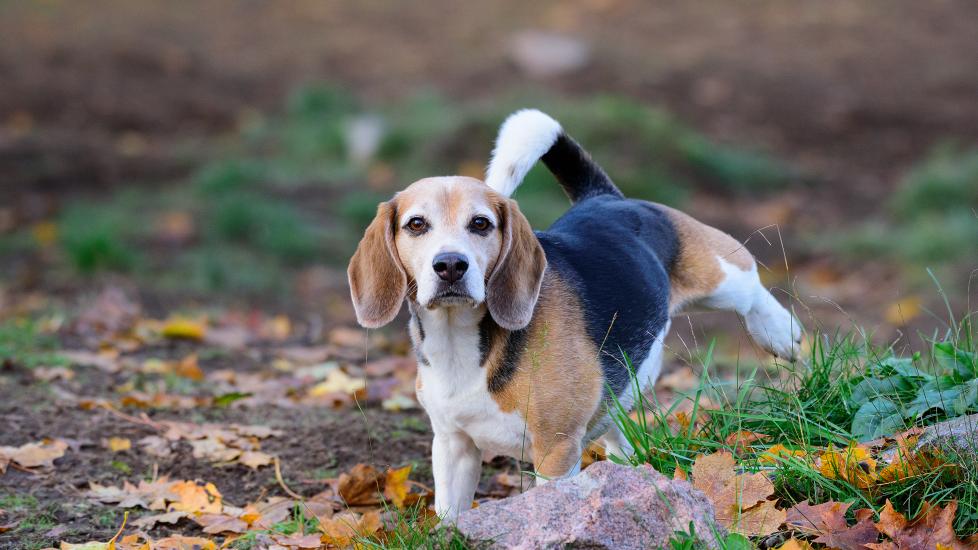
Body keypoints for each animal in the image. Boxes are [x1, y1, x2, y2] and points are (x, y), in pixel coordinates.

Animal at [346, 110, 796, 524]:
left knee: (751, 286)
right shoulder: (453, 445)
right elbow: (450, 513)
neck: (461, 339)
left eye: (480, 224)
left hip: (720, 276)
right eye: (416, 224)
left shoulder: (555, 449)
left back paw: (780, 333)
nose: (451, 265)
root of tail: (606, 199)